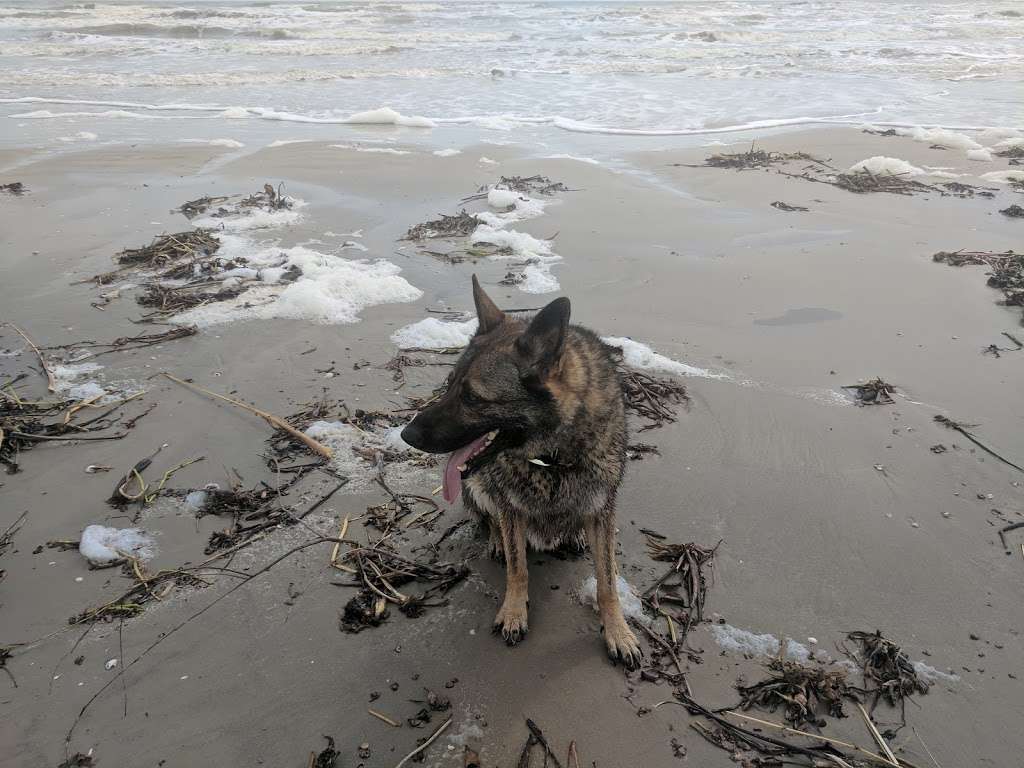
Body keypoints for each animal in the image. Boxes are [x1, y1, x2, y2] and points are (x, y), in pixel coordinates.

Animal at [399, 278, 638, 667]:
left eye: (472, 398)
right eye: (449, 384)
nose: (406, 435)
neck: (552, 458)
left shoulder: (602, 510)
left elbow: (607, 582)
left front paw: (618, 630)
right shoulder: (511, 509)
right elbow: (518, 568)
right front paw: (514, 612)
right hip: (480, 486)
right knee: (491, 519)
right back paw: (497, 540)